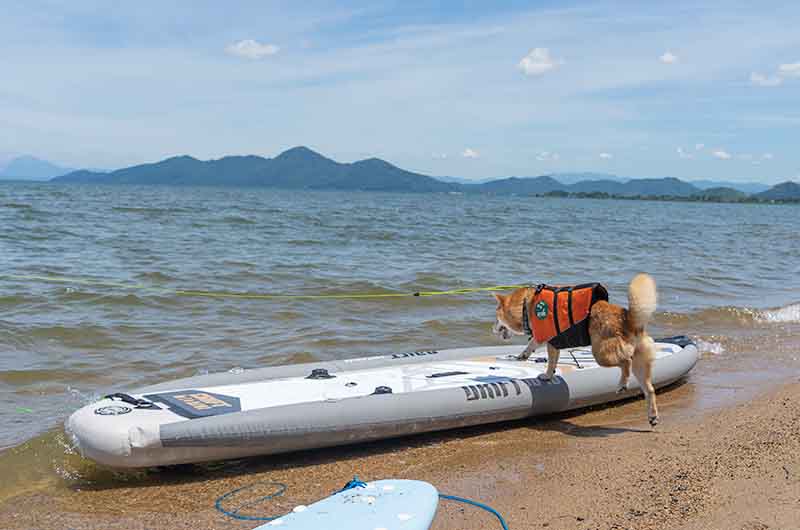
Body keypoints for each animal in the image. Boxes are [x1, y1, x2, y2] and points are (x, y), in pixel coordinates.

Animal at [494, 272, 656, 424]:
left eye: (497, 318)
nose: (493, 329)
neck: (525, 305)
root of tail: (628, 320)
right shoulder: (552, 342)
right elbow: (538, 349)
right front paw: (524, 356)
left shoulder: (550, 340)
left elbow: (549, 360)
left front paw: (546, 375)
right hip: (639, 363)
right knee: (649, 389)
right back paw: (652, 416)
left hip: (601, 354)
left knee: (626, 362)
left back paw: (622, 384)